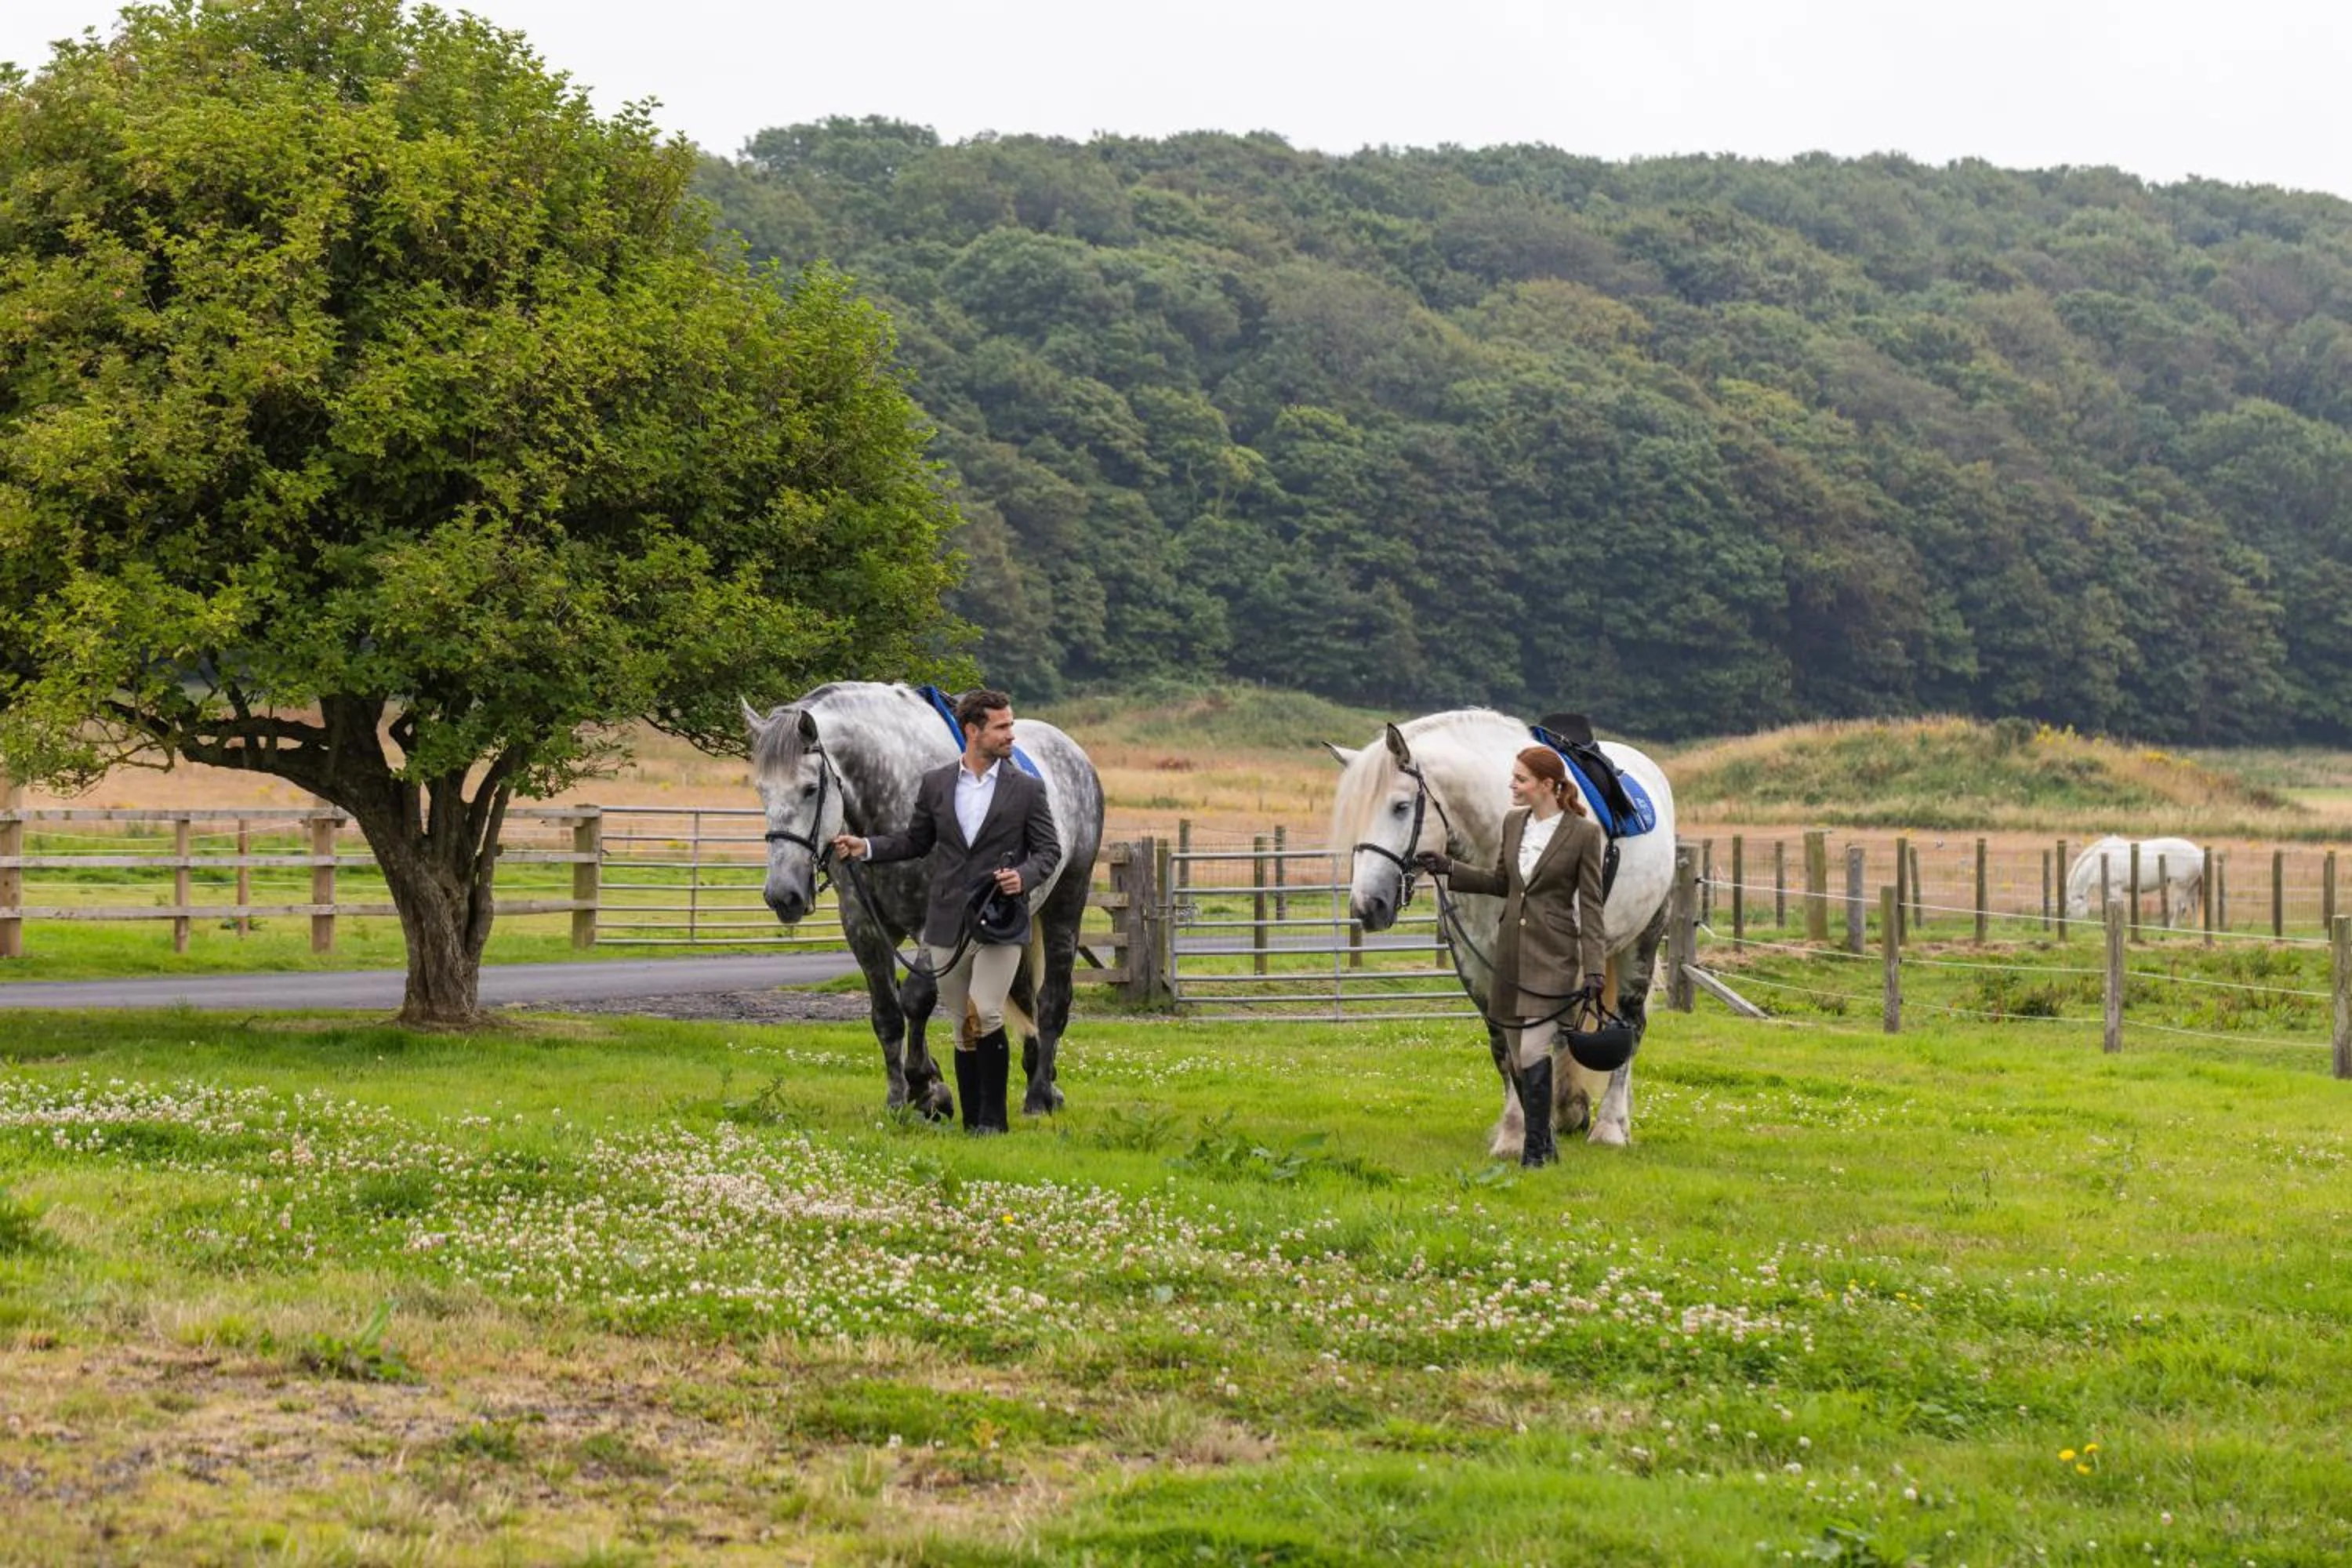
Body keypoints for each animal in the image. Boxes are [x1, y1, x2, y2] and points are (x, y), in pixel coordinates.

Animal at [746, 682, 1105, 1119]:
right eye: (761, 790)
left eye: (810, 789)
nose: (784, 895)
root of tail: (1075, 755)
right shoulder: (863, 927)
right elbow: (886, 1012)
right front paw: (901, 1095)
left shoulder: (936, 926)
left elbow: (917, 999)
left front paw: (927, 1086)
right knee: (1020, 996)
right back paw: (1045, 1080)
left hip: (1066, 903)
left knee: (1052, 999)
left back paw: (1038, 1096)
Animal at [1326, 709, 1678, 1156]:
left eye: (1401, 807)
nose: (1366, 905)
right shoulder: (1479, 966)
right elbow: (1505, 1048)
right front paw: (1515, 1133)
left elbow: (1542, 1042)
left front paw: (1540, 1131)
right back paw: (1574, 1111)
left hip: (1641, 941)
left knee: (1630, 1026)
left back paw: (1611, 1126)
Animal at [2064, 835, 2206, 926]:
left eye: (2069, 911)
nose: (2074, 925)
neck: (2098, 860)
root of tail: (2197, 853)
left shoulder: (2115, 888)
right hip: (2192, 887)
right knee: (2193, 908)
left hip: (2180, 886)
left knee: (2180, 909)